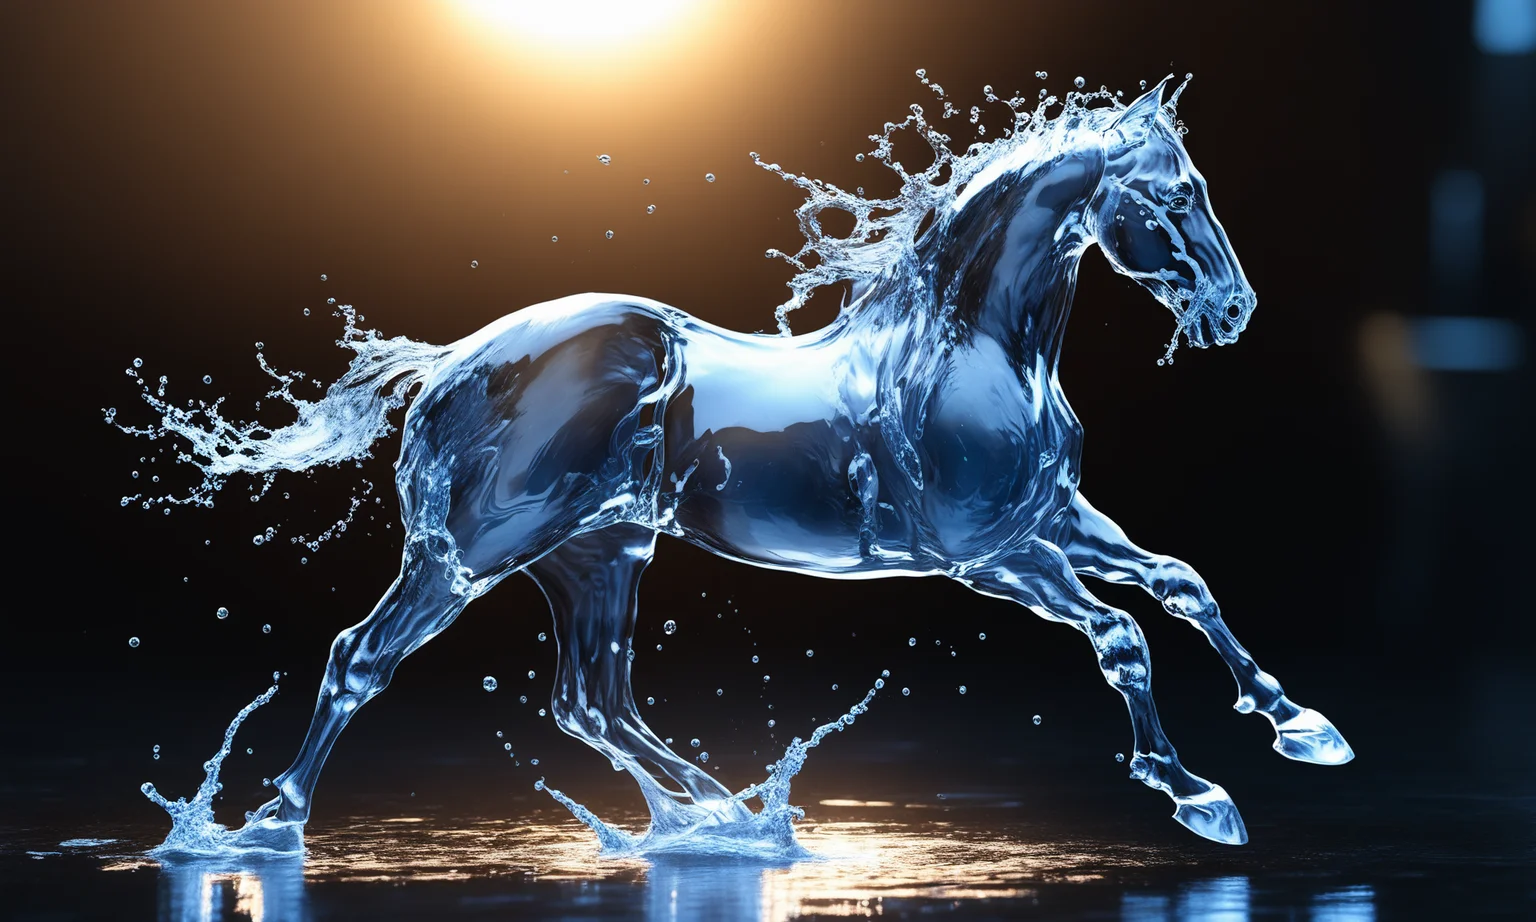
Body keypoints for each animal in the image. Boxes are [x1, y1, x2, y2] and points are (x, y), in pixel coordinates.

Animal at [131, 77, 1353, 852]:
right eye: (1177, 195)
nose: (1234, 310)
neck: (965, 351)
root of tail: (456, 364)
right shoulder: (992, 555)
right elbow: (1122, 636)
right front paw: (1197, 793)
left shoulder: (1054, 518)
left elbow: (1184, 583)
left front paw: (1305, 728)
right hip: (471, 556)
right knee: (362, 659)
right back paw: (269, 825)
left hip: (598, 556)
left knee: (591, 700)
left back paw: (719, 813)